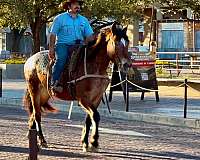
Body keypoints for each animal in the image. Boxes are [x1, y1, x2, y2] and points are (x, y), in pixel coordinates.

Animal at [23, 21, 131, 152]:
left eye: (127, 43)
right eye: (116, 42)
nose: (127, 64)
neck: (94, 65)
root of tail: (30, 59)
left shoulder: (96, 98)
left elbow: (89, 119)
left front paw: (85, 142)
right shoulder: (83, 98)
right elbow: (95, 115)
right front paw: (94, 142)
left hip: (44, 94)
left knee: (34, 114)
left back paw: (32, 135)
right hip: (34, 90)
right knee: (37, 114)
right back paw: (42, 140)